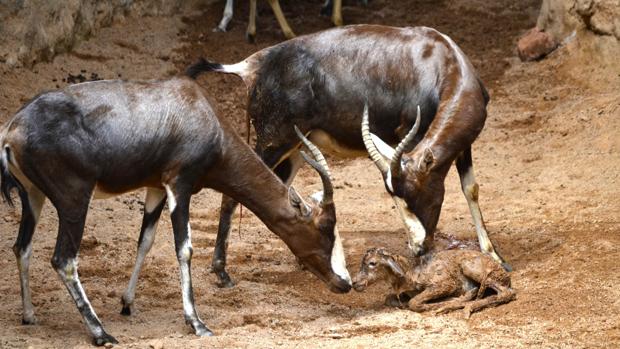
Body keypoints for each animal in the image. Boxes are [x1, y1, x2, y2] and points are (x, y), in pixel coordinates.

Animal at [0, 75, 348, 344]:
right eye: (324, 229)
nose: (344, 284)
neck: (198, 109)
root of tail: (12, 131)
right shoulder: (180, 184)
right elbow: (184, 249)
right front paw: (197, 323)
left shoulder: (156, 187)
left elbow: (146, 241)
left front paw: (127, 303)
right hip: (74, 200)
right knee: (63, 259)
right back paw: (101, 333)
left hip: (33, 196)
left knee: (22, 247)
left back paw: (29, 316)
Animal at [186, 23, 512, 286]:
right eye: (405, 196)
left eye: (416, 193)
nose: (418, 248)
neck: (438, 59)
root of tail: (253, 65)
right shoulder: (409, 135)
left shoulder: (462, 147)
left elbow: (471, 189)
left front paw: (496, 257)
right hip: (273, 142)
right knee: (233, 195)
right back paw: (222, 273)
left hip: (295, 148)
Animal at [352, 246, 516, 316]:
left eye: (372, 263)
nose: (354, 282)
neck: (410, 272)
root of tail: (505, 275)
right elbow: (389, 299)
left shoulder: (445, 284)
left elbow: (414, 303)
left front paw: (441, 304)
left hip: (471, 268)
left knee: (507, 293)